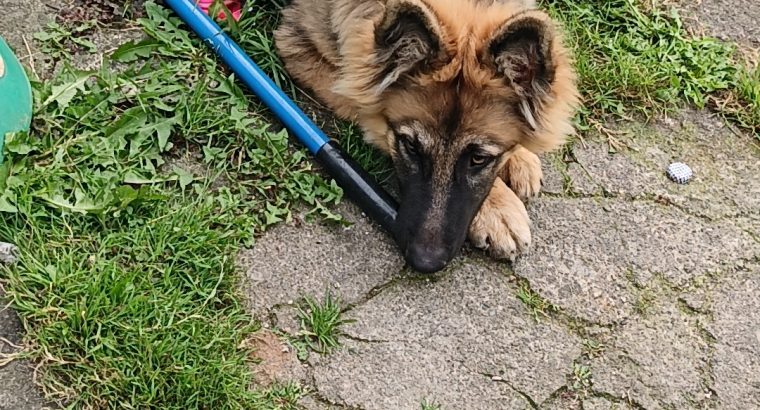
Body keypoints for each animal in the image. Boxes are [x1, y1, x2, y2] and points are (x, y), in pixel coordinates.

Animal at [276, 0, 580, 276]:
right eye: (410, 145)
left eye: (479, 158)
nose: (425, 262)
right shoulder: (299, 46)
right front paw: (498, 210)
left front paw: (519, 156)